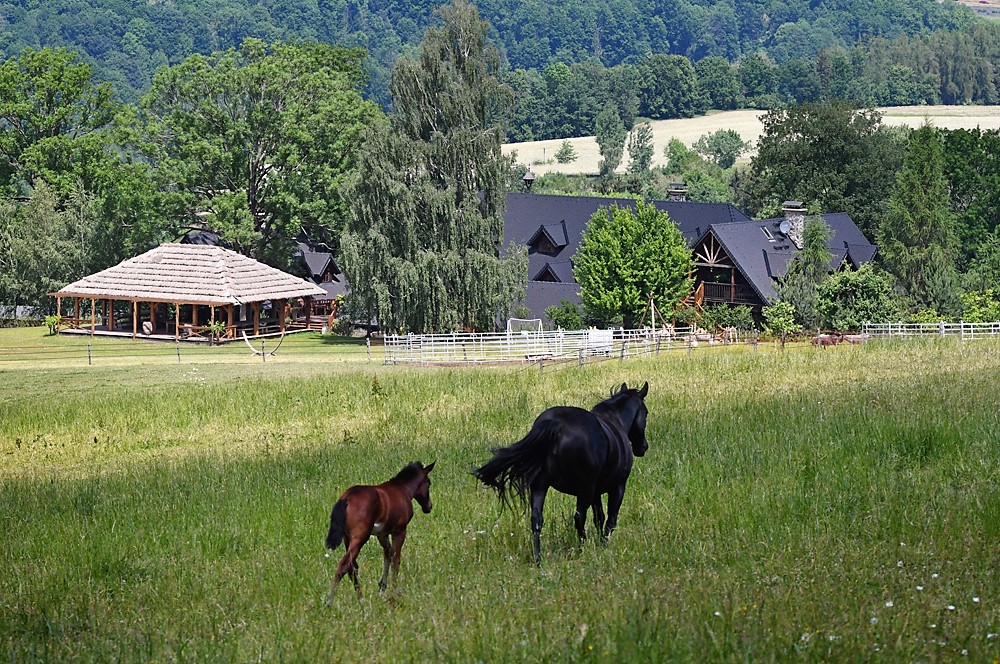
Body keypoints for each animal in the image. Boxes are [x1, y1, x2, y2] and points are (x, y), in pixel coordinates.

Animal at [324, 460, 434, 604]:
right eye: (429, 483)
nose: (429, 506)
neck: (402, 489)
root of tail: (346, 498)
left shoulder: (382, 534)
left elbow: (388, 554)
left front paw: (382, 587)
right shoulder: (400, 530)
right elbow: (396, 558)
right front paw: (395, 590)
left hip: (347, 538)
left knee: (352, 567)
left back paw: (361, 600)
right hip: (360, 538)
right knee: (344, 565)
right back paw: (329, 601)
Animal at [474, 382, 648, 564]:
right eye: (646, 413)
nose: (643, 447)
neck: (615, 421)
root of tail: (555, 424)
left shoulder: (596, 492)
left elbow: (598, 517)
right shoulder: (617, 487)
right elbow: (610, 520)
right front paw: (604, 545)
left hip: (541, 486)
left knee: (536, 520)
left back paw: (538, 560)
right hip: (584, 490)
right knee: (579, 518)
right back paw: (581, 549)